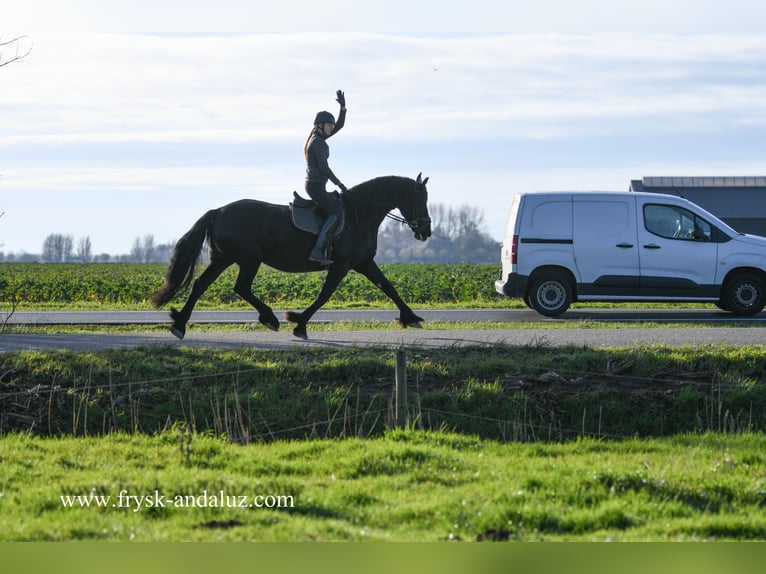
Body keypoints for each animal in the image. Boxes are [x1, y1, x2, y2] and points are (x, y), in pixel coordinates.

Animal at [150, 173, 432, 339]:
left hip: (224, 259)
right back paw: (269, 318)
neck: (359, 216)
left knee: (201, 285)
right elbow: (324, 295)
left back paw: (180, 323)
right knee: (240, 287)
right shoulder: (341, 265)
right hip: (248, 259)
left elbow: (389, 287)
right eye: (421, 198)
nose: (426, 230)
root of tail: (218, 211)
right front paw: (298, 323)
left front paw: (411, 318)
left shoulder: (363, 263)